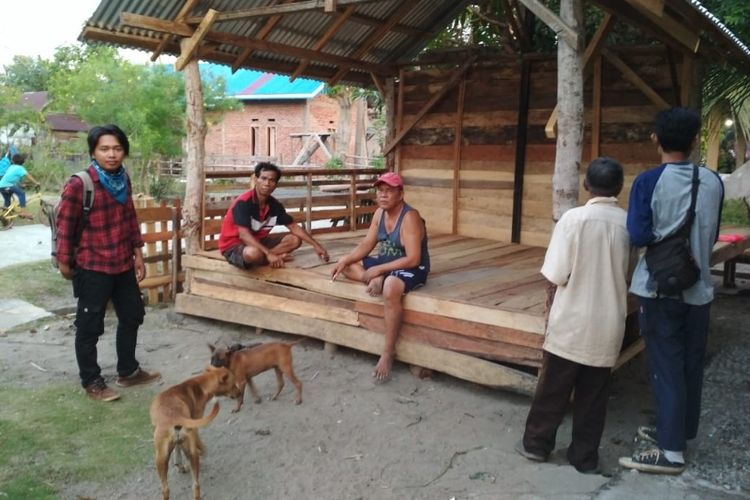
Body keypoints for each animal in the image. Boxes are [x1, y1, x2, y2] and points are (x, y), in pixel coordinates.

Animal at [149, 366, 238, 500]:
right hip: (178, 453)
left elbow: (178, 452)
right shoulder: (194, 428)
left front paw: (180, 465)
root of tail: (175, 415)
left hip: (161, 458)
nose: (240, 392)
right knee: (194, 484)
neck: (201, 386)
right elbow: (184, 450)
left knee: (171, 488)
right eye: (233, 384)